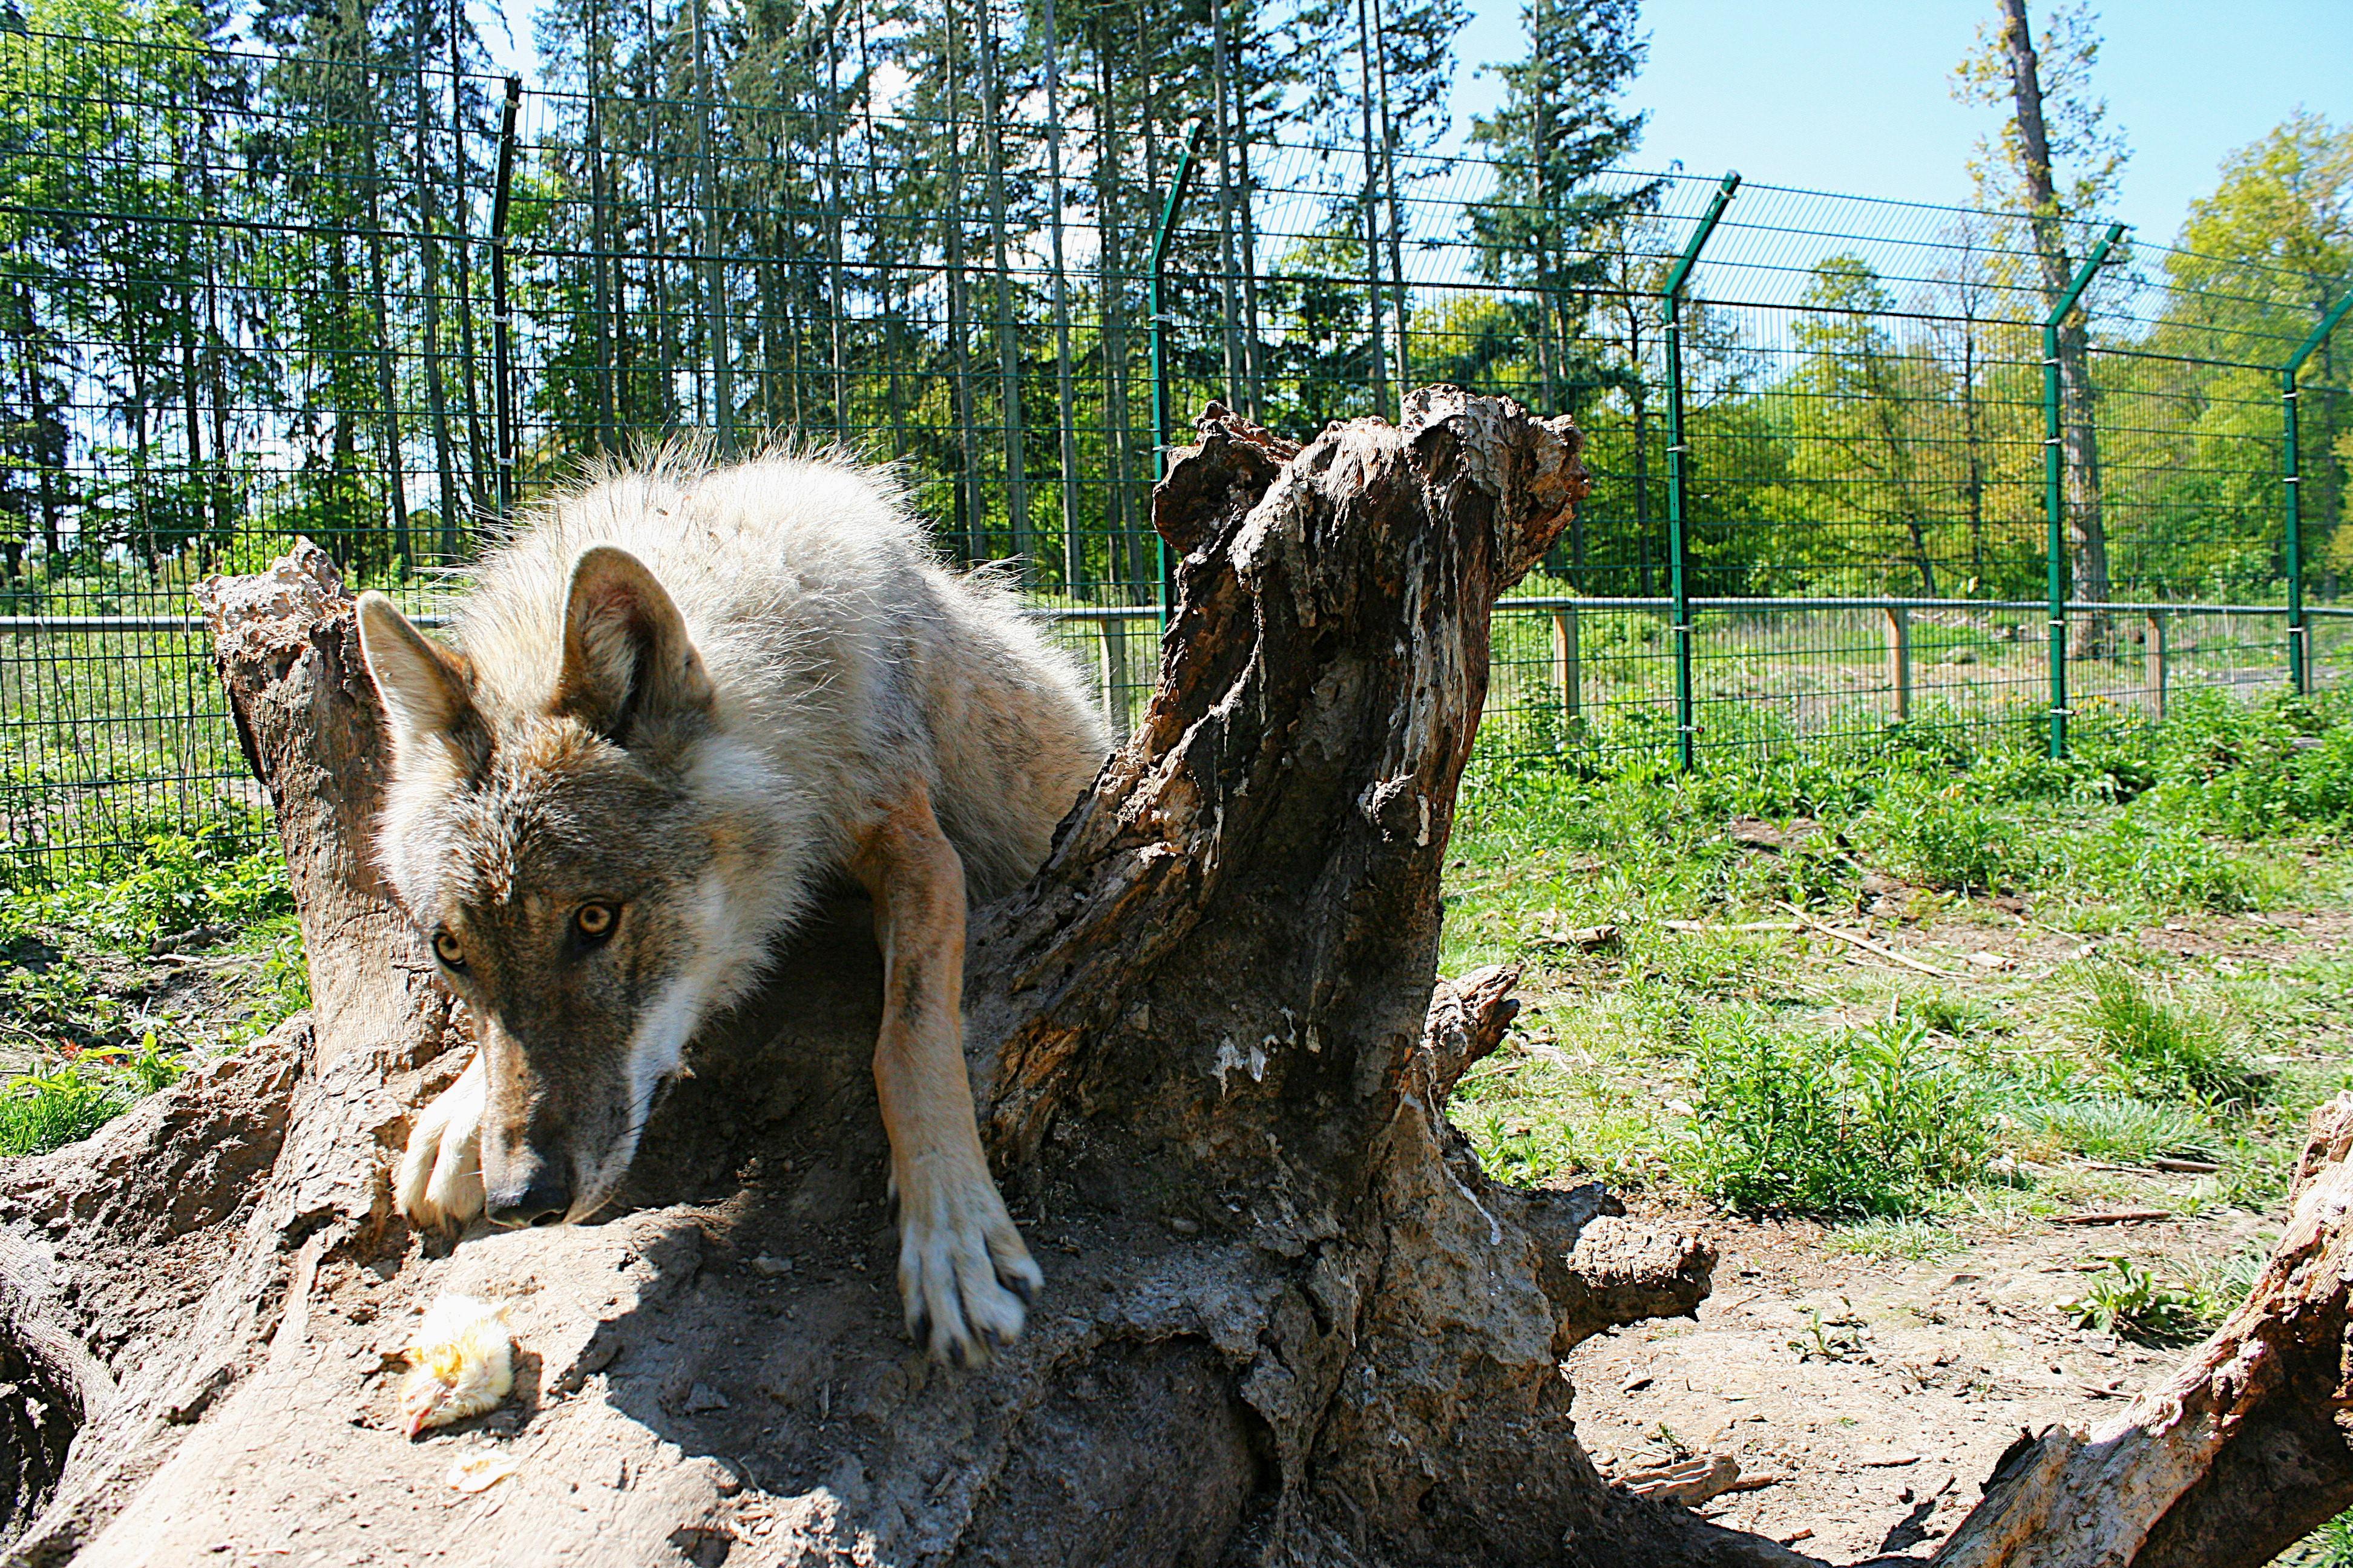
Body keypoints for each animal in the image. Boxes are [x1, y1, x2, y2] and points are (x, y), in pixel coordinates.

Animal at [355, 440, 1111, 1356]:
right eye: (451, 950)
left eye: (595, 919)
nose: (520, 1199)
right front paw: (455, 1116)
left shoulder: (916, 844)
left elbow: (909, 1043)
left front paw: (954, 1235)